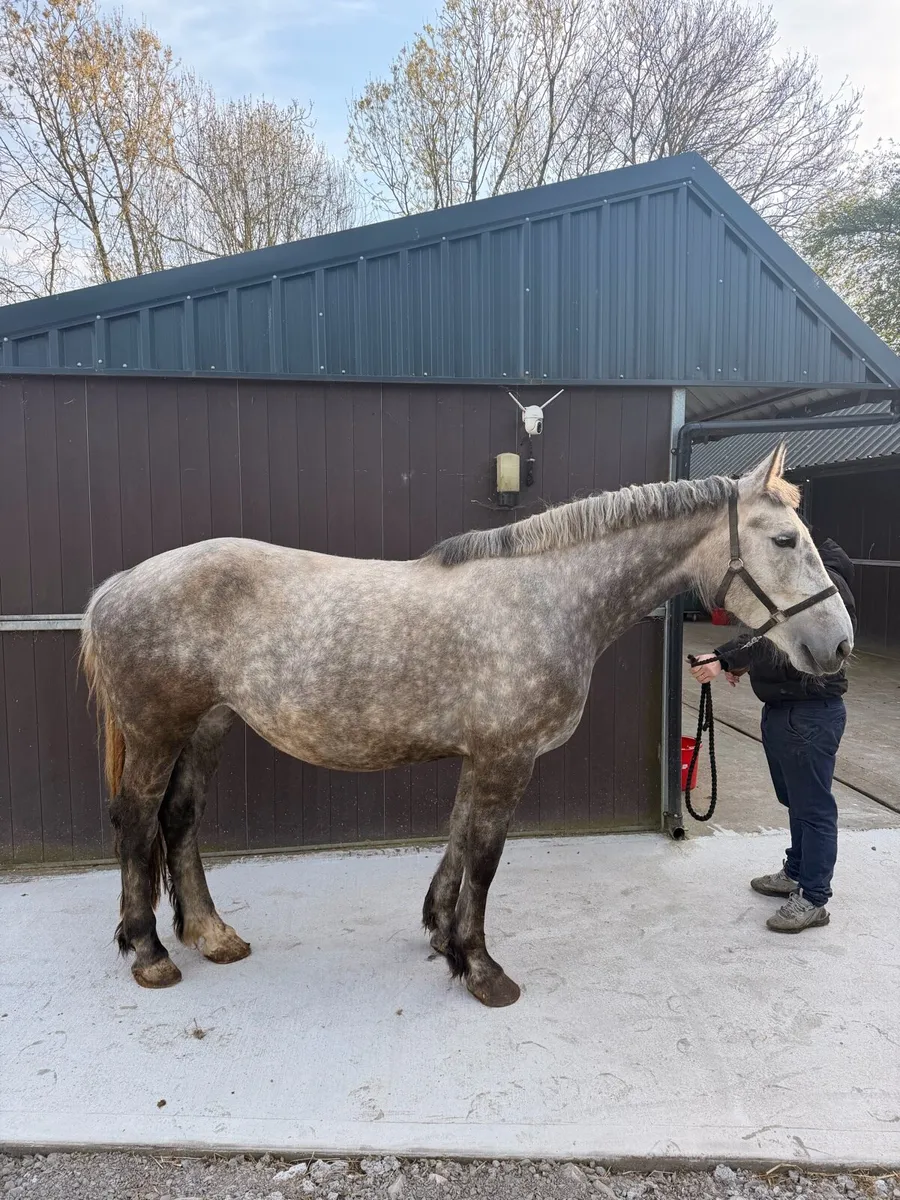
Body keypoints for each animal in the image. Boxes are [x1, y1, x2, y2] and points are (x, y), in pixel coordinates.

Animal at [80, 443, 852, 1007]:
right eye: (786, 540)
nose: (838, 645)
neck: (547, 599)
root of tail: (117, 586)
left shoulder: (481, 757)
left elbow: (456, 840)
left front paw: (440, 937)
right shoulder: (507, 757)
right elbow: (484, 858)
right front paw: (482, 968)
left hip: (207, 725)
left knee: (180, 820)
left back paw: (211, 935)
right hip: (156, 731)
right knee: (138, 821)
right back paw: (149, 953)